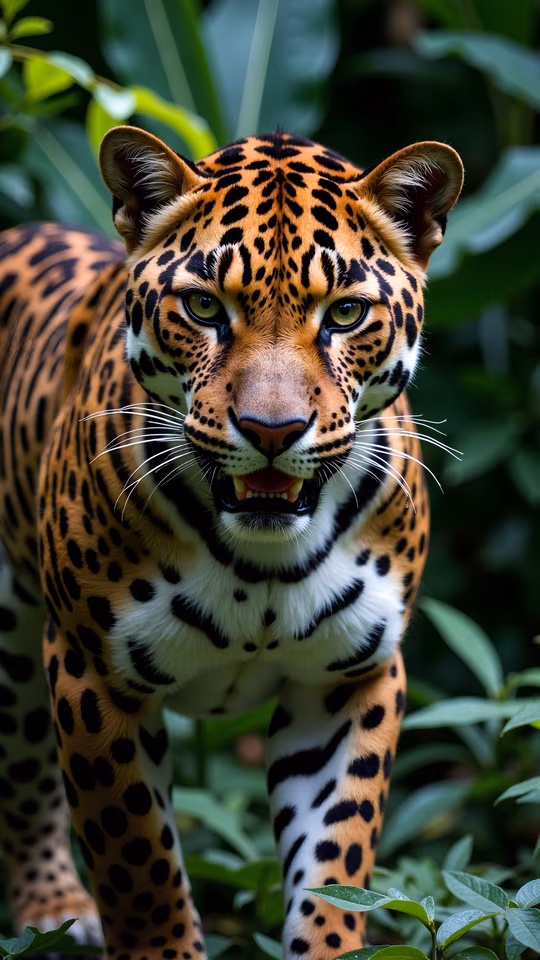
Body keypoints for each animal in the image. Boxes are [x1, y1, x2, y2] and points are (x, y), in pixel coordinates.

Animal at [0, 126, 463, 960]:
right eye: (204, 306)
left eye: (346, 314)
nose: (272, 431)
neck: (262, 563)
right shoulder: (91, 673)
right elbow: (139, 862)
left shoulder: (350, 681)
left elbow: (335, 859)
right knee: (24, 775)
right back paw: (54, 908)